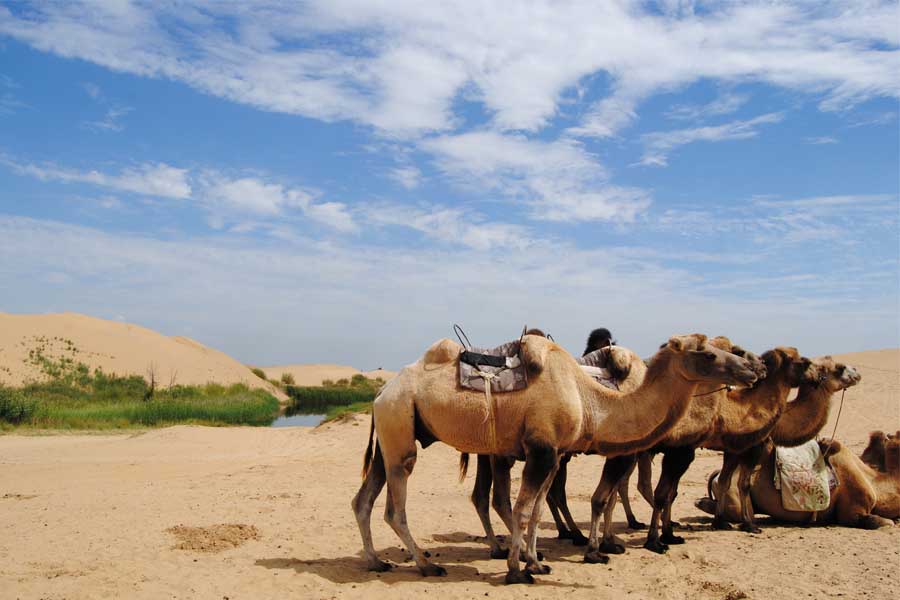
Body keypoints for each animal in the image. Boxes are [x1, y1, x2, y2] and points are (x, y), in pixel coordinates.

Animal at [348, 330, 756, 584]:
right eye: (707, 353)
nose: (752, 369)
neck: (589, 399)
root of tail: (381, 392)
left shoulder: (554, 453)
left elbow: (538, 509)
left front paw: (536, 561)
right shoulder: (542, 451)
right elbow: (524, 508)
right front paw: (517, 570)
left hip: (391, 433)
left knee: (363, 500)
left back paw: (376, 561)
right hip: (400, 427)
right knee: (394, 506)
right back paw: (425, 566)